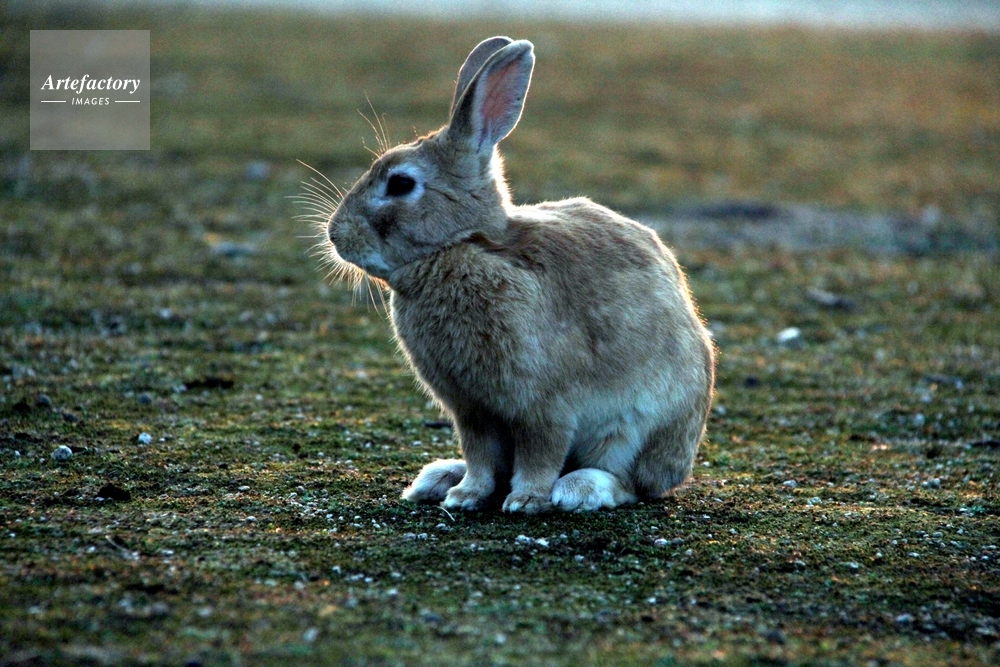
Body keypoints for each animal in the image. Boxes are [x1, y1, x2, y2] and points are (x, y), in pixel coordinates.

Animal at [321, 36, 715, 513]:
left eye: (400, 184)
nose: (335, 234)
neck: (466, 245)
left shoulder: (544, 406)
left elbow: (540, 454)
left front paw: (525, 500)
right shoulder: (472, 411)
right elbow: (480, 456)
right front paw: (465, 495)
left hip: (632, 429)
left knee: (629, 482)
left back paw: (578, 489)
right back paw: (439, 478)